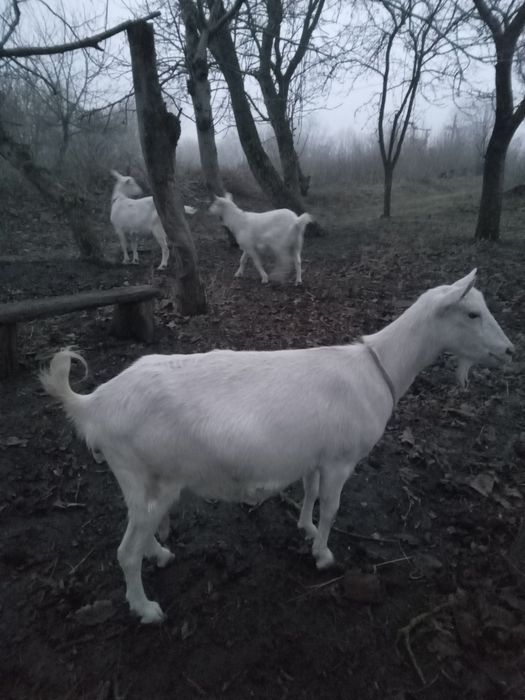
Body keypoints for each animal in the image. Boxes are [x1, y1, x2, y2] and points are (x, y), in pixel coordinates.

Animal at [40, 270, 513, 624]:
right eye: (473, 313)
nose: (509, 351)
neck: (377, 369)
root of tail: (94, 403)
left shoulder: (315, 455)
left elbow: (309, 492)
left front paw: (305, 529)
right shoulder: (340, 459)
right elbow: (332, 507)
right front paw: (323, 555)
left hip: (142, 483)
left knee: (139, 533)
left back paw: (161, 554)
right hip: (150, 476)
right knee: (125, 552)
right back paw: (146, 609)